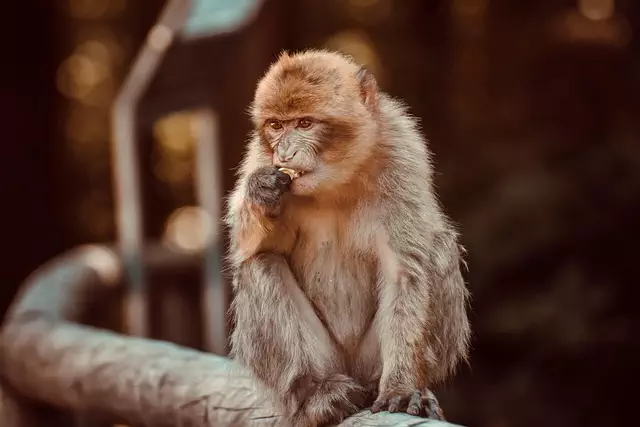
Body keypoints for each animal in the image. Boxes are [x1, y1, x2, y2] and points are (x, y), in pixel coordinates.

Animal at [225, 48, 470, 426]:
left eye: (305, 124)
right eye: (276, 126)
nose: (285, 153)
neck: (335, 180)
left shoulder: (402, 155)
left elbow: (404, 269)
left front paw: (401, 387)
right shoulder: (258, 156)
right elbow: (253, 249)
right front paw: (260, 193)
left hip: (369, 360)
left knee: (440, 248)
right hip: (329, 360)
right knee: (260, 265)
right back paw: (316, 393)